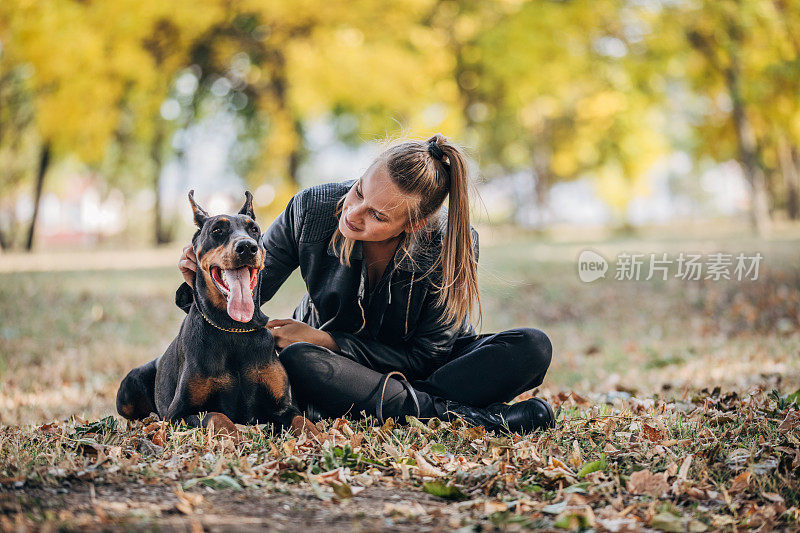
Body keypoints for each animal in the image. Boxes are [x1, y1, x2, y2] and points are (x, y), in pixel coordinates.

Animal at [116, 191, 322, 440]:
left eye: (254, 229)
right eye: (217, 230)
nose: (247, 247)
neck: (233, 328)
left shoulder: (283, 406)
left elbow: (303, 422)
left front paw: (322, 439)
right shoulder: (178, 413)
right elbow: (217, 416)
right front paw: (235, 439)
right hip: (128, 390)